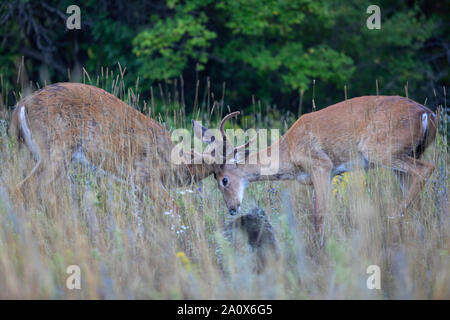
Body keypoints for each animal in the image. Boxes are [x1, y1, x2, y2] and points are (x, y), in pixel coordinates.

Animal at [195, 96, 438, 234]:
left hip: (380, 149)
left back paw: (393, 218)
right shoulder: (319, 178)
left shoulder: (322, 165)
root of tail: (428, 114)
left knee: (426, 168)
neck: (289, 151)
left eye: (224, 180)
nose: (232, 208)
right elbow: (315, 214)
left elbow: (320, 215)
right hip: (405, 155)